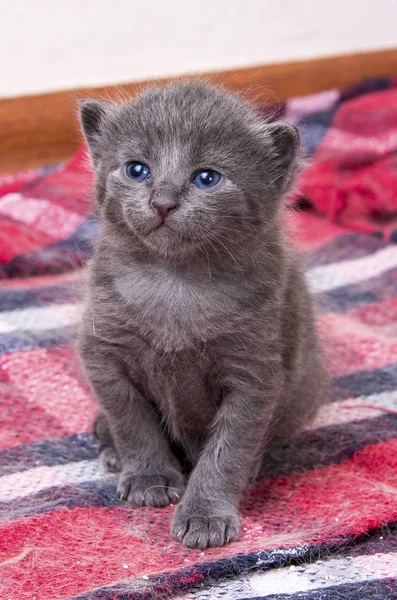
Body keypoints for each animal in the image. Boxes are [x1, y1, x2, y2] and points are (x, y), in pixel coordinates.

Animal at [77, 79, 328, 548]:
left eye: (207, 177)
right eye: (136, 169)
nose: (162, 202)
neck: (176, 280)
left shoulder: (254, 374)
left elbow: (227, 451)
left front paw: (205, 515)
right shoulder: (103, 351)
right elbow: (131, 420)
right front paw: (149, 477)